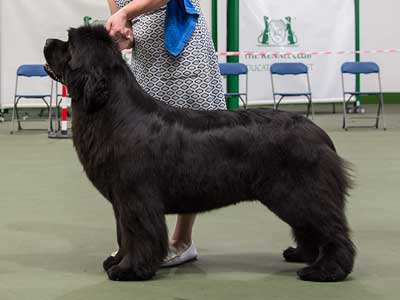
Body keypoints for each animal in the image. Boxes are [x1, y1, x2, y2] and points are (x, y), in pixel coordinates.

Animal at [44, 25, 356, 282]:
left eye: (68, 44)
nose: (47, 41)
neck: (112, 110)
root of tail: (319, 133)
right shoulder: (122, 200)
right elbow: (124, 233)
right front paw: (117, 261)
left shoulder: (136, 196)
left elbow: (137, 233)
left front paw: (128, 270)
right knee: (310, 226)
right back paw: (303, 255)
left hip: (301, 191)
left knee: (331, 228)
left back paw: (326, 270)